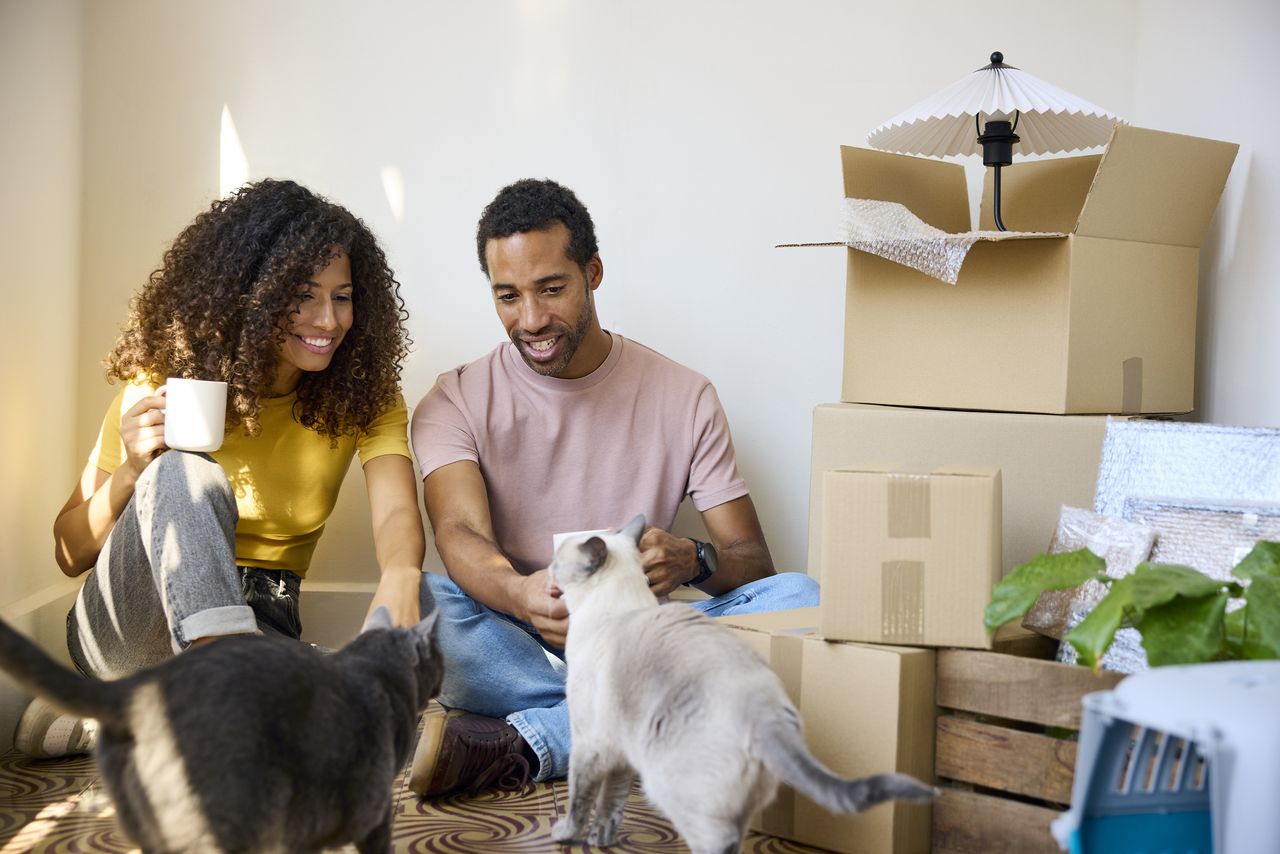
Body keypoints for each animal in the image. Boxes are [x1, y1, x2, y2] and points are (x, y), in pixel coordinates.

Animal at [545, 514, 936, 854]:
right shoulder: (620, 752)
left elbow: (580, 799)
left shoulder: (590, 742)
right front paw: (601, 840)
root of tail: (765, 711)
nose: (546, 569)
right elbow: (610, 805)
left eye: (557, 560)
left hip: (673, 786)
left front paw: (566, 834)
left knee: (715, 842)